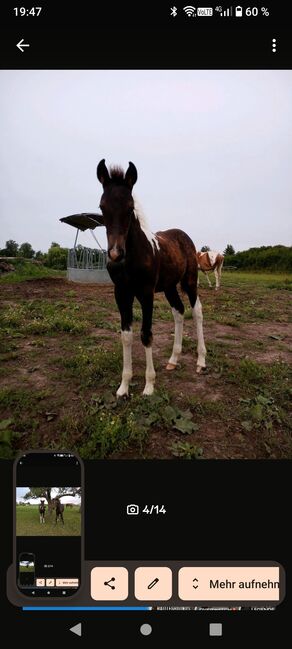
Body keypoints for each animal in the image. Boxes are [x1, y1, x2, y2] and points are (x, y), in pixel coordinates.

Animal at [96, 159, 205, 398]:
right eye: (101, 207)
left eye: (130, 207)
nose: (115, 255)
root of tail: (183, 235)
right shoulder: (122, 293)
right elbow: (126, 335)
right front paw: (124, 387)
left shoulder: (146, 293)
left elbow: (146, 334)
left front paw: (148, 386)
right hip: (170, 287)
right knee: (179, 311)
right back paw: (173, 359)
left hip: (189, 281)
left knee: (196, 311)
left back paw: (201, 361)